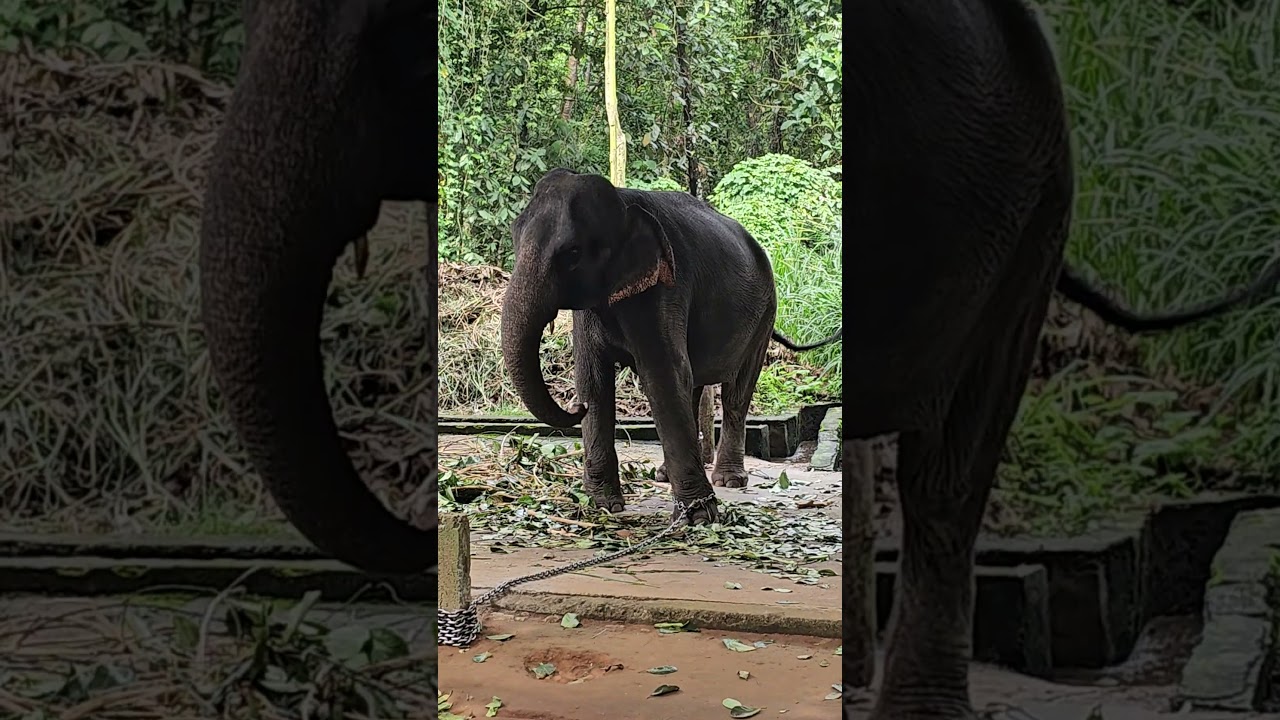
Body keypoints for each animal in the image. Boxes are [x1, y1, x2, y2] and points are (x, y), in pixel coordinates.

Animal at [499, 168, 842, 524]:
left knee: (736, 391)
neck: (623, 202)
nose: (575, 408)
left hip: (765, 314)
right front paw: (602, 506)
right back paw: (665, 475)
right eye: (514, 235)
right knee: (693, 385)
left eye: (573, 253)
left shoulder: (667, 290)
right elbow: (594, 381)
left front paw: (699, 518)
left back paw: (729, 480)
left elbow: (662, 376)